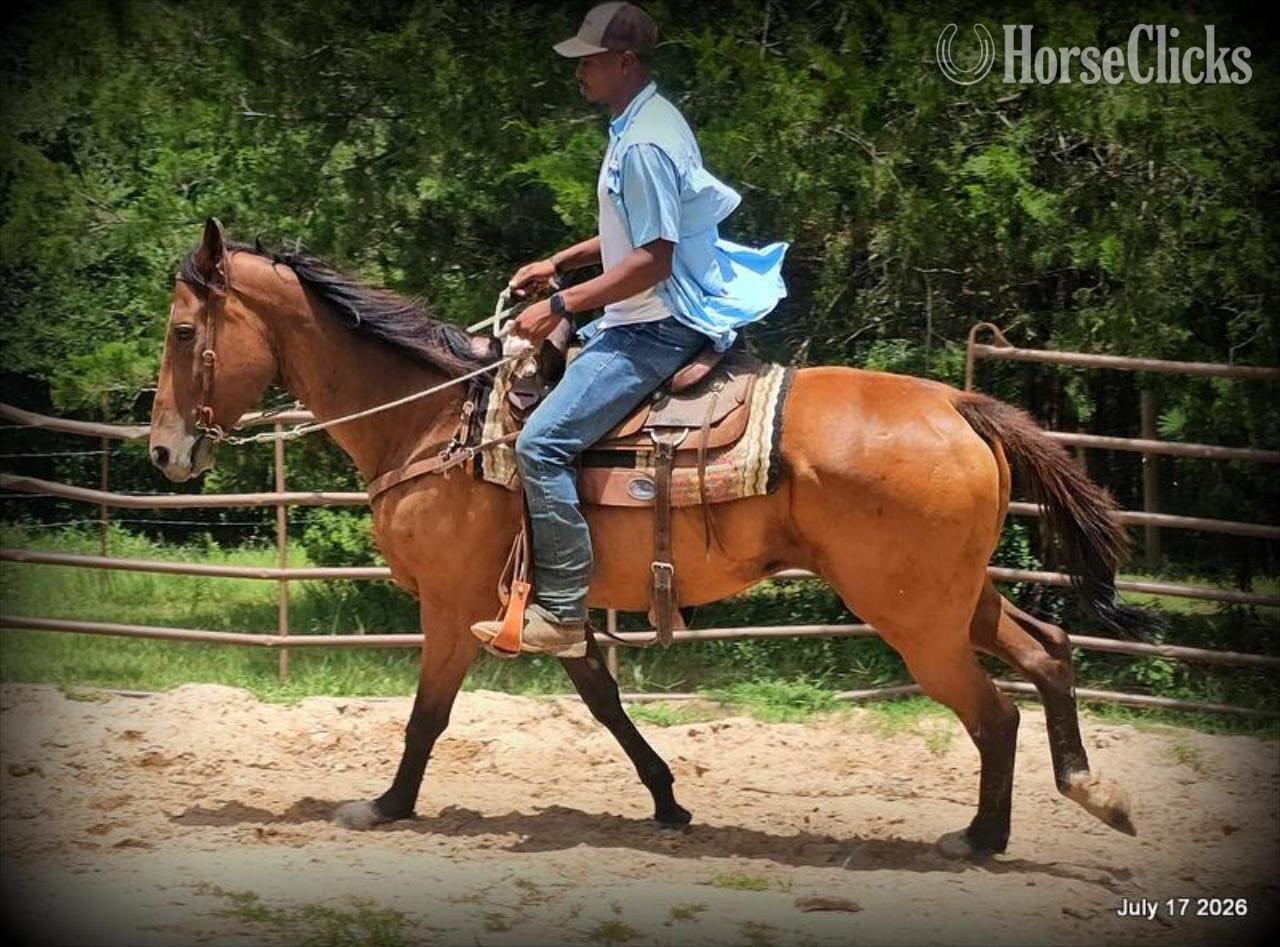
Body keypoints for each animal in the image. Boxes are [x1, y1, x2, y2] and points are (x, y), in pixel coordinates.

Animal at [149, 219, 1148, 858]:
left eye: (184, 330)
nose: (164, 449)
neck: (435, 420)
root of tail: (959, 402)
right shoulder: (556, 603)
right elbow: (605, 702)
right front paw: (668, 799)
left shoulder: (452, 602)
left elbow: (428, 713)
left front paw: (387, 805)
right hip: (955, 597)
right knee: (1048, 651)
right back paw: (1086, 793)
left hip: (916, 620)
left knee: (995, 709)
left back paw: (982, 836)